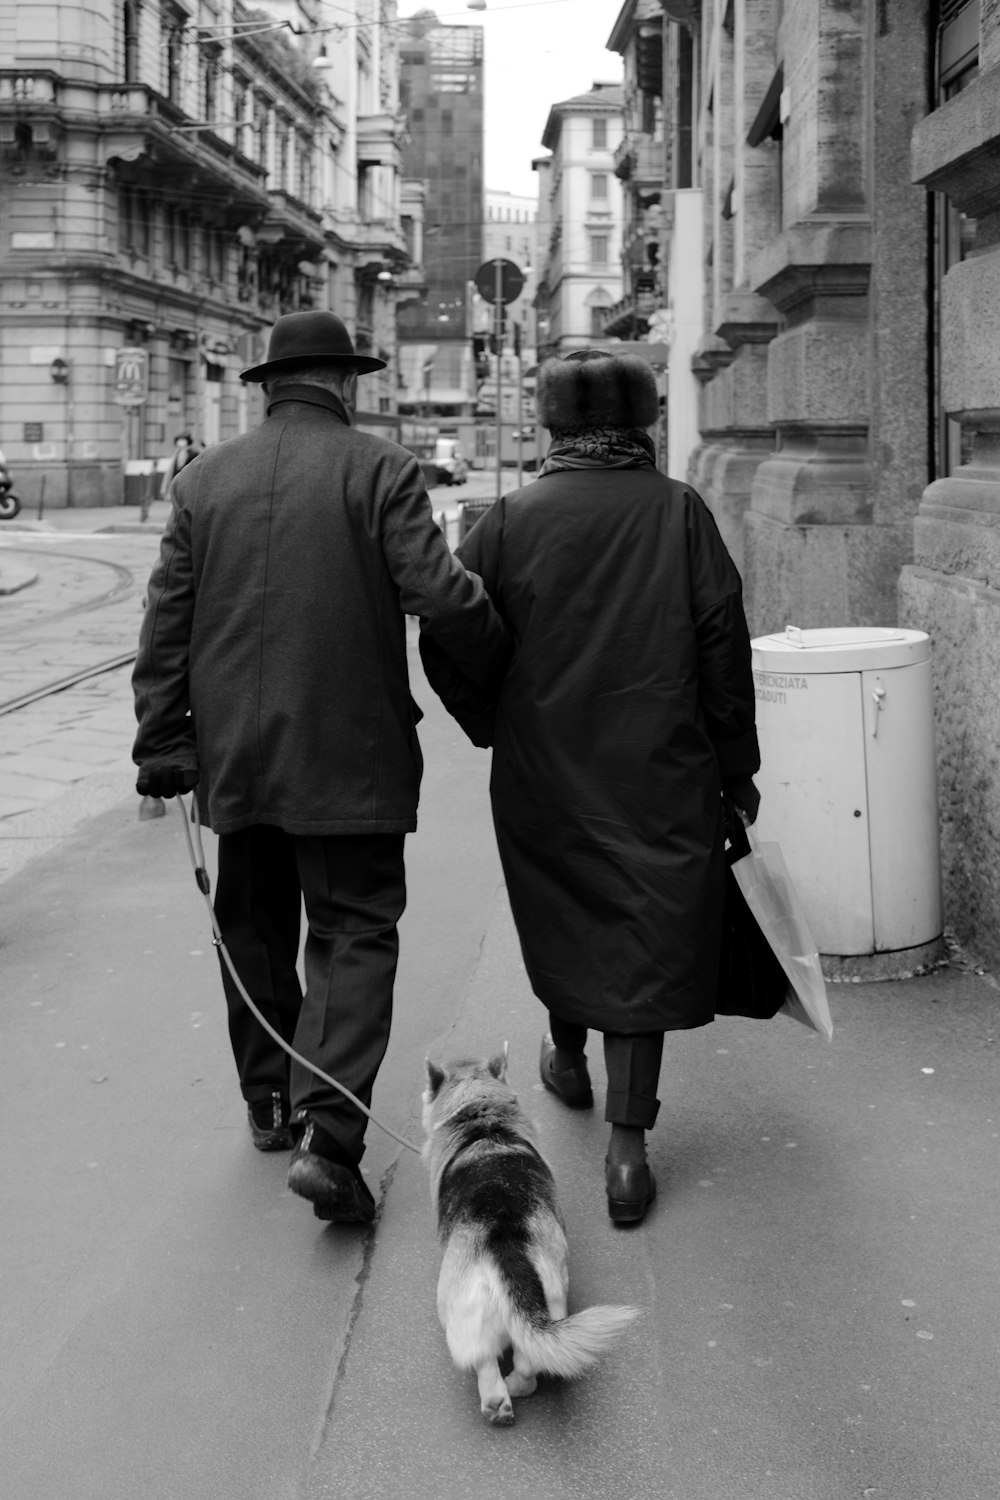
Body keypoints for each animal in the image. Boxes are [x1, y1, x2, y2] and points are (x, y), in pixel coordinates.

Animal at [419, 1050, 638, 1422]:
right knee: (529, 1363)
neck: (480, 1114)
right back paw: (513, 1391)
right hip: (551, 1302)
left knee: (484, 1361)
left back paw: (496, 1399)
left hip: (457, 1312)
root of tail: (504, 1241)